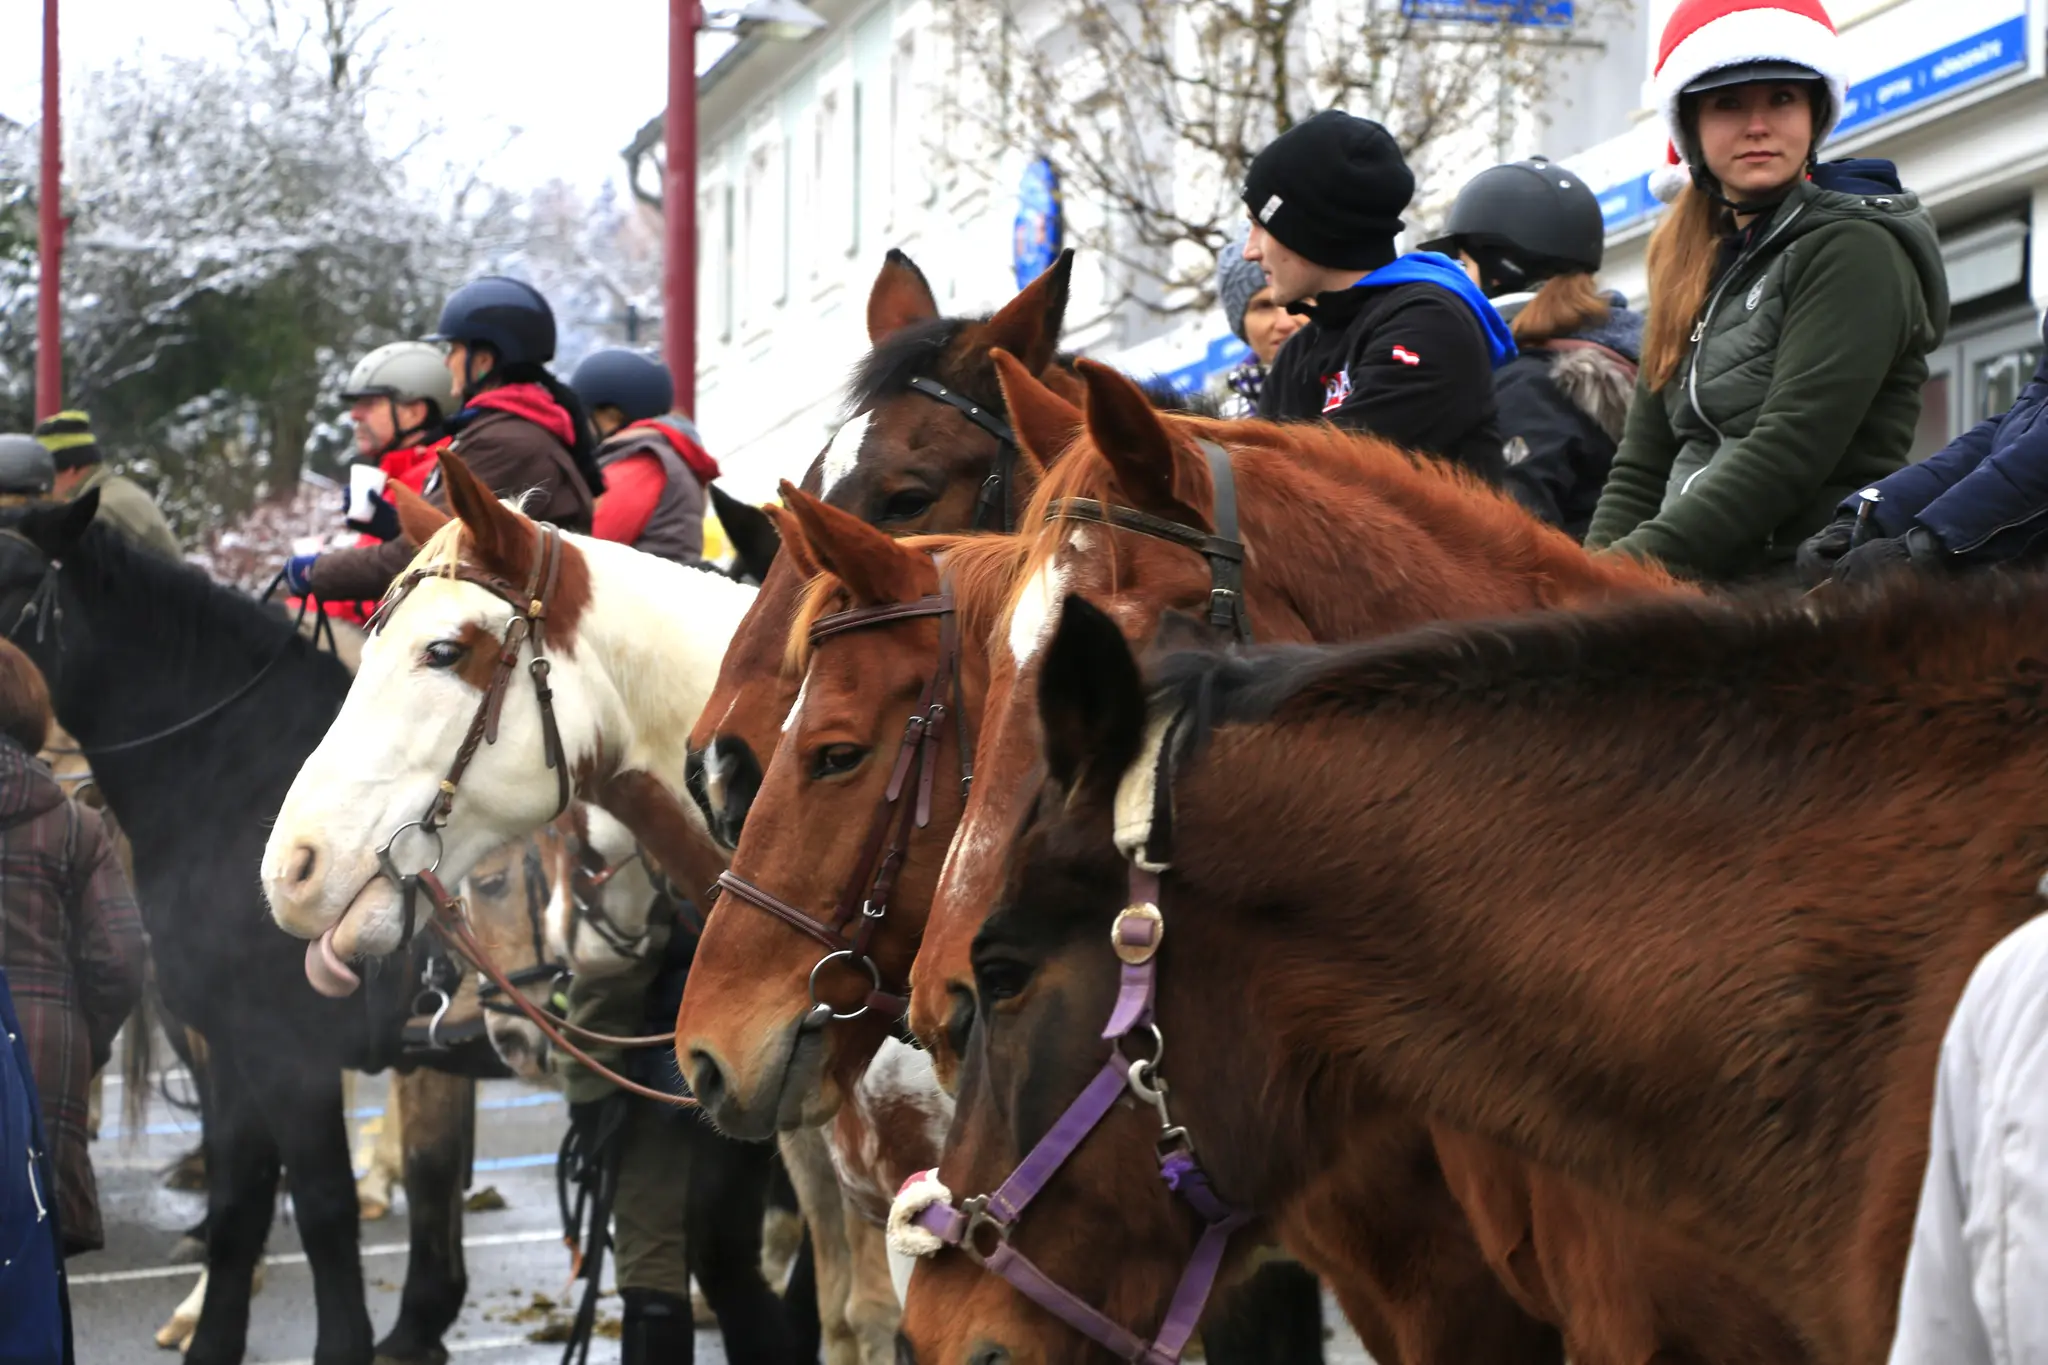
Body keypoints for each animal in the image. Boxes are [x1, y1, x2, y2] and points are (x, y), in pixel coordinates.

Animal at [0, 496, 502, 1365]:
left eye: (13, 575)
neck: (234, 775)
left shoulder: (288, 1053)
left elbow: (324, 1208)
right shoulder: (235, 1048)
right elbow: (242, 1203)